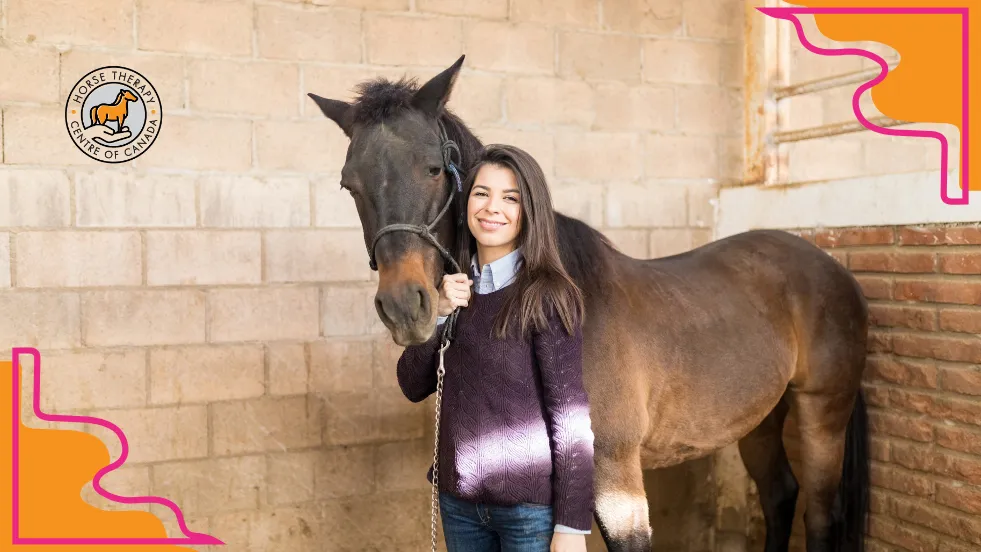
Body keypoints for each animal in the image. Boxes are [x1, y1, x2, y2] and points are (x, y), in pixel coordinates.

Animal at [307, 56, 870, 552]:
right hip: (759, 420)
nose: (405, 306)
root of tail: (832, 267)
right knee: (780, 497)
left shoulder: (616, 477)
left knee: (820, 513)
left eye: (432, 169)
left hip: (822, 413)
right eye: (349, 184)